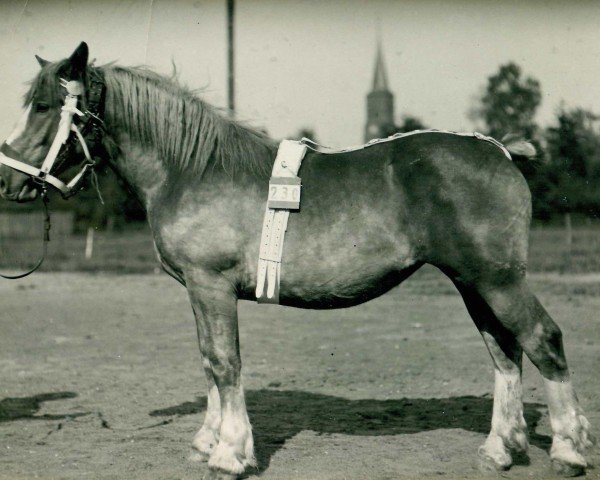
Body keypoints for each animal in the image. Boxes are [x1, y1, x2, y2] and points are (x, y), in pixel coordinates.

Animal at [0, 43, 592, 478]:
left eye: (45, 107)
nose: (8, 180)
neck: (191, 168)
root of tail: (500, 150)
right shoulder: (197, 290)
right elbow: (208, 362)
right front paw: (207, 440)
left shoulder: (211, 286)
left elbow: (225, 362)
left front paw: (230, 454)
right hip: (473, 282)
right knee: (505, 352)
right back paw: (501, 449)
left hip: (497, 280)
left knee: (543, 340)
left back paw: (568, 449)